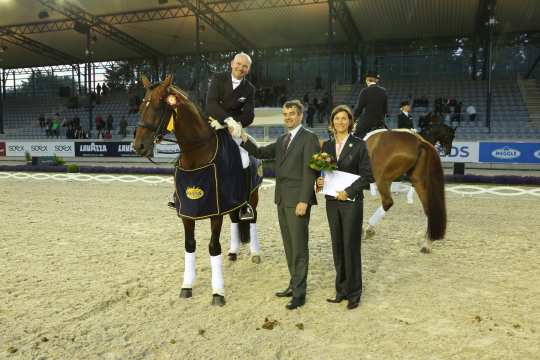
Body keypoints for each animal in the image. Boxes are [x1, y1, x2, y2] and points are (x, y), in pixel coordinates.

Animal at [134, 74, 262, 306]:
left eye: (158, 106)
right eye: (140, 106)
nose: (138, 146)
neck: (196, 155)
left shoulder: (216, 211)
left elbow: (213, 247)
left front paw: (218, 292)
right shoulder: (187, 212)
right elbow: (189, 245)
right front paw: (187, 286)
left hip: (252, 196)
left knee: (253, 219)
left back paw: (255, 253)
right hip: (233, 200)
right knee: (235, 220)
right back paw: (233, 252)